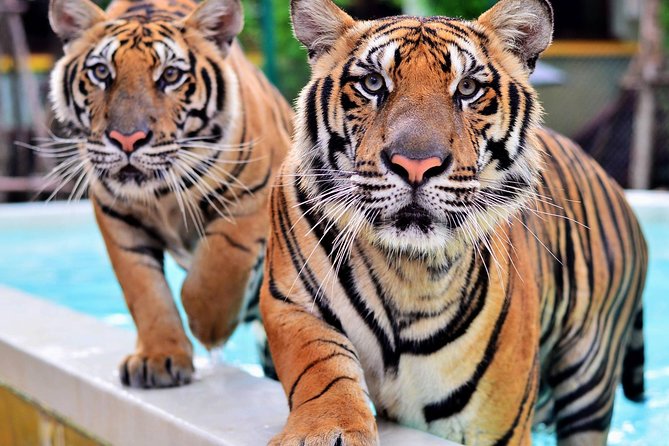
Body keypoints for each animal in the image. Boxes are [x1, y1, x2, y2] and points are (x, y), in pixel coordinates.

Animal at [48, 0, 293, 388]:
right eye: (101, 72)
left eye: (171, 76)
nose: (127, 140)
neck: (160, 192)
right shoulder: (118, 219)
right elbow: (145, 291)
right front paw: (158, 359)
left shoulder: (252, 200)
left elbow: (214, 272)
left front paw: (209, 330)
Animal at [259, 0, 647, 444]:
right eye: (373, 83)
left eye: (467, 89)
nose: (415, 164)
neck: (406, 270)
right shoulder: (292, 302)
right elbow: (321, 368)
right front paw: (327, 428)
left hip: (591, 377)